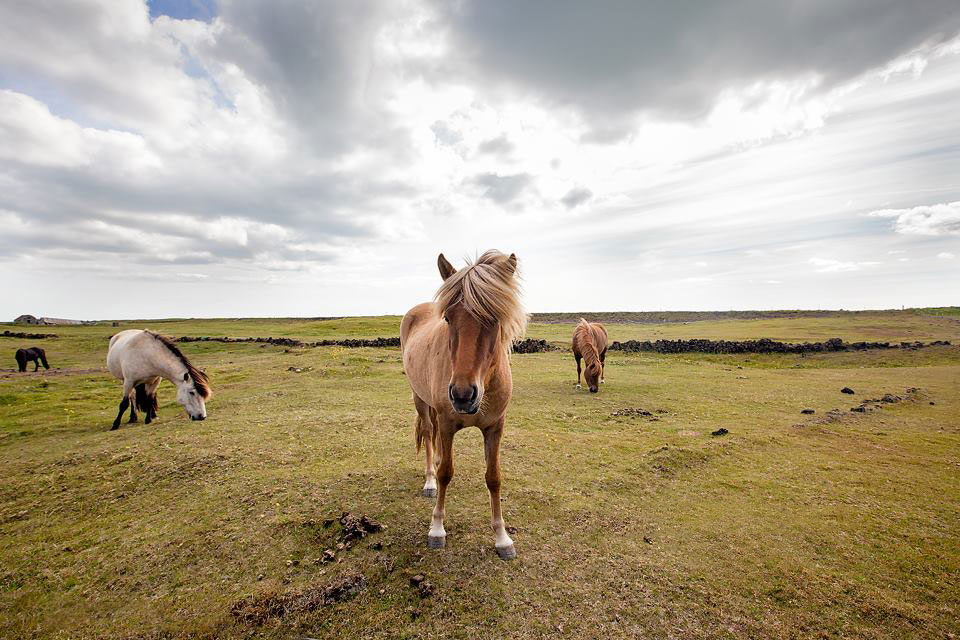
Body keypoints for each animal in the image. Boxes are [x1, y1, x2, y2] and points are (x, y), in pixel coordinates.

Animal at [402, 250, 528, 560]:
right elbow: (446, 473)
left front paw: (502, 537)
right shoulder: (447, 424)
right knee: (429, 434)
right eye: (448, 318)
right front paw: (437, 529)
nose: (462, 395)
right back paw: (429, 481)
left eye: (494, 318)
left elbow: (494, 477)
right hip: (420, 400)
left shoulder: (495, 427)